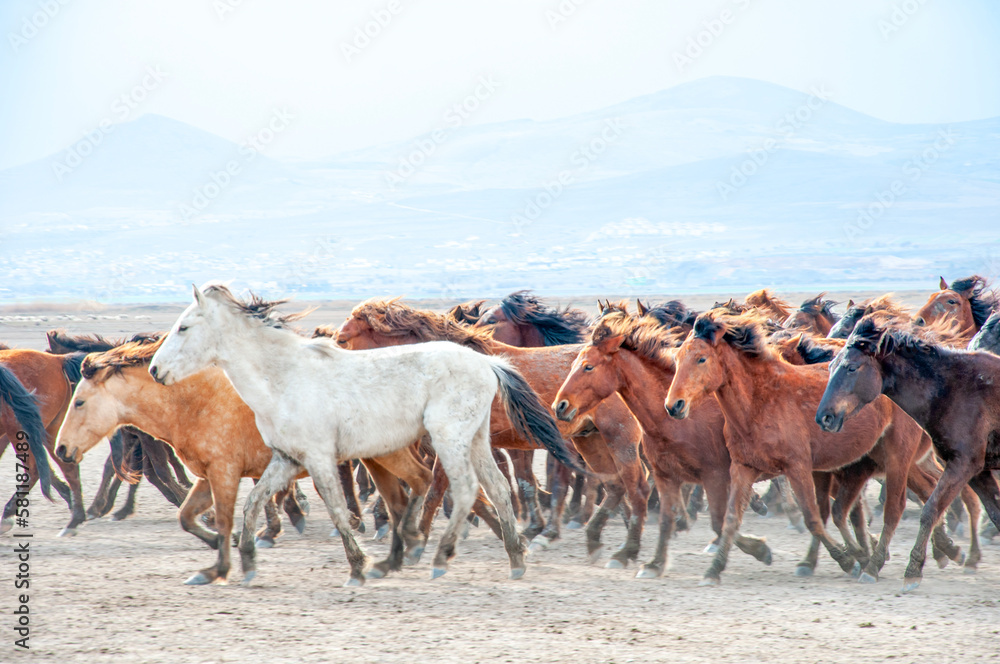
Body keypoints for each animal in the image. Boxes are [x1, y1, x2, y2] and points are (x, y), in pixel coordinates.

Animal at [149, 284, 577, 586]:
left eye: (183, 327)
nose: (154, 370)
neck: (283, 378)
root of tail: (488, 362)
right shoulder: (286, 459)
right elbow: (253, 504)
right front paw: (247, 563)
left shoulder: (320, 458)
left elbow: (339, 511)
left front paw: (357, 568)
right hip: (475, 441)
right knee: (498, 489)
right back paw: (516, 559)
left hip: (449, 440)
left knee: (466, 489)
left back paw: (440, 558)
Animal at [327, 297, 649, 568]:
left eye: (342, 340)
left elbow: (435, 492)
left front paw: (416, 544)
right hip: (590, 440)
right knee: (615, 485)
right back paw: (597, 540)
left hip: (619, 438)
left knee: (637, 487)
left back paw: (625, 548)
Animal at [553, 312, 774, 578]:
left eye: (588, 366)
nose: (559, 406)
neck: (678, 421)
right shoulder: (665, 476)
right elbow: (667, 521)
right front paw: (654, 563)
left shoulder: (714, 476)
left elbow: (719, 522)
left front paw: (759, 549)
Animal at [665, 310, 937, 585]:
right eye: (676, 357)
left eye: (701, 358)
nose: (674, 405)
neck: (759, 403)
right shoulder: (743, 468)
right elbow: (730, 519)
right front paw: (715, 569)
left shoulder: (797, 467)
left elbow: (813, 518)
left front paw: (847, 559)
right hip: (875, 459)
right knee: (921, 491)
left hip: (897, 457)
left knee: (894, 509)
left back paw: (879, 566)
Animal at [816, 314, 1000, 592]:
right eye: (830, 366)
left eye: (851, 368)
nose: (824, 417)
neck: (954, 389)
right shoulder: (979, 471)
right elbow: (996, 514)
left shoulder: (963, 464)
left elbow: (929, 511)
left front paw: (911, 570)